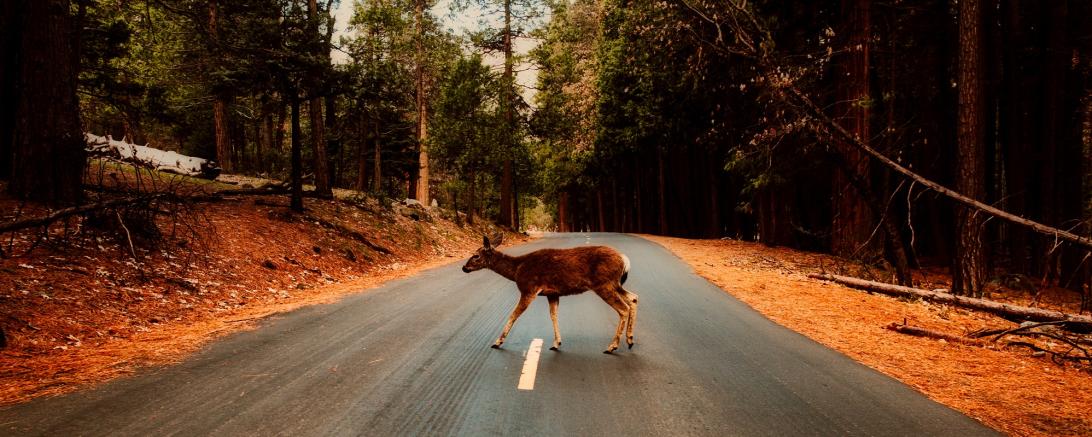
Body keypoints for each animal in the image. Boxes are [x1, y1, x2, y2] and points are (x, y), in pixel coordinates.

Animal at [462, 234, 639, 354]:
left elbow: (514, 314)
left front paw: (497, 342)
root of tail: (624, 259)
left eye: (476, 255)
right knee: (633, 298)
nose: (464, 267)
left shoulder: (529, 289)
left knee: (623, 308)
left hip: (604, 284)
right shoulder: (552, 293)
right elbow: (553, 315)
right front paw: (556, 343)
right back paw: (629, 340)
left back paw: (612, 346)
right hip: (614, 283)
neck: (517, 269)